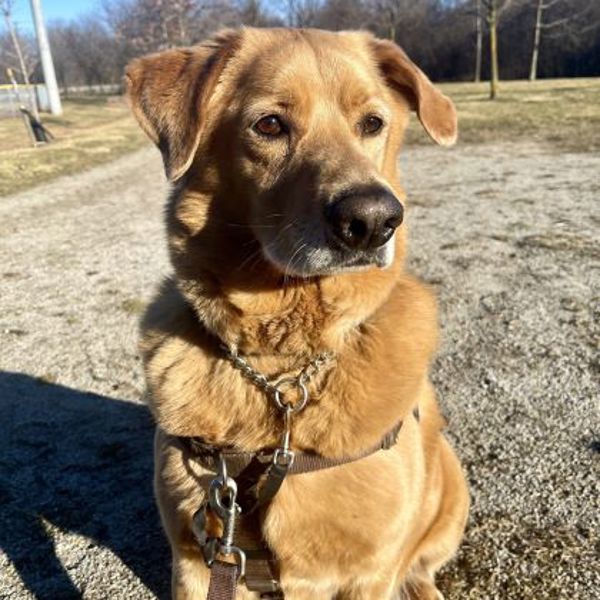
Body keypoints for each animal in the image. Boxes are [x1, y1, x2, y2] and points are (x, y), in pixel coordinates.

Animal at [127, 27, 468, 600]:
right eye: (269, 125)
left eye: (372, 124)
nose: (374, 220)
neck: (282, 368)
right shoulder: (197, 558)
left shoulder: (372, 572)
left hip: (451, 487)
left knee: (422, 565)